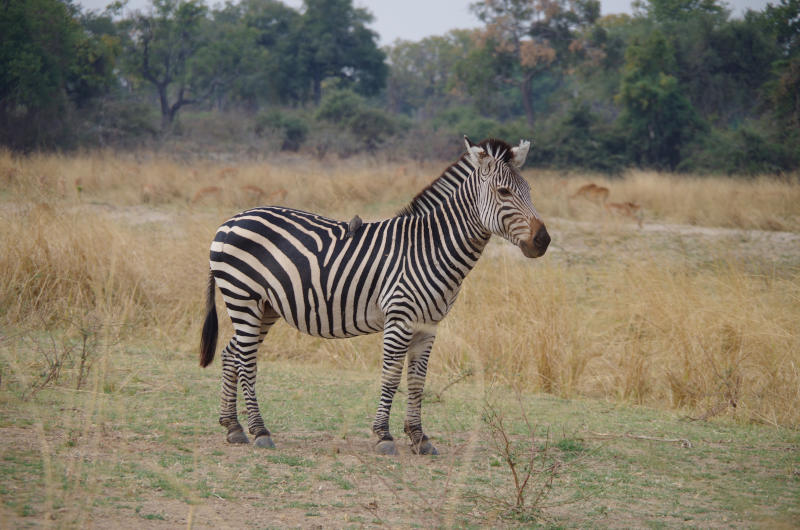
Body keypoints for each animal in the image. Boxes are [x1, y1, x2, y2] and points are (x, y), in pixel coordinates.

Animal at [199, 136, 552, 454]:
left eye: (530, 191)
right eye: (504, 192)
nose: (543, 241)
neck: (430, 247)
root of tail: (229, 221)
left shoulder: (428, 326)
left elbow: (417, 381)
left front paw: (419, 438)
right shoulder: (400, 318)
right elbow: (391, 377)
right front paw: (384, 436)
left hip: (265, 306)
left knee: (232, 353)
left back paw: (233, 427)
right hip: (243, 297)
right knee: (246, 359)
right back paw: (259, 431)